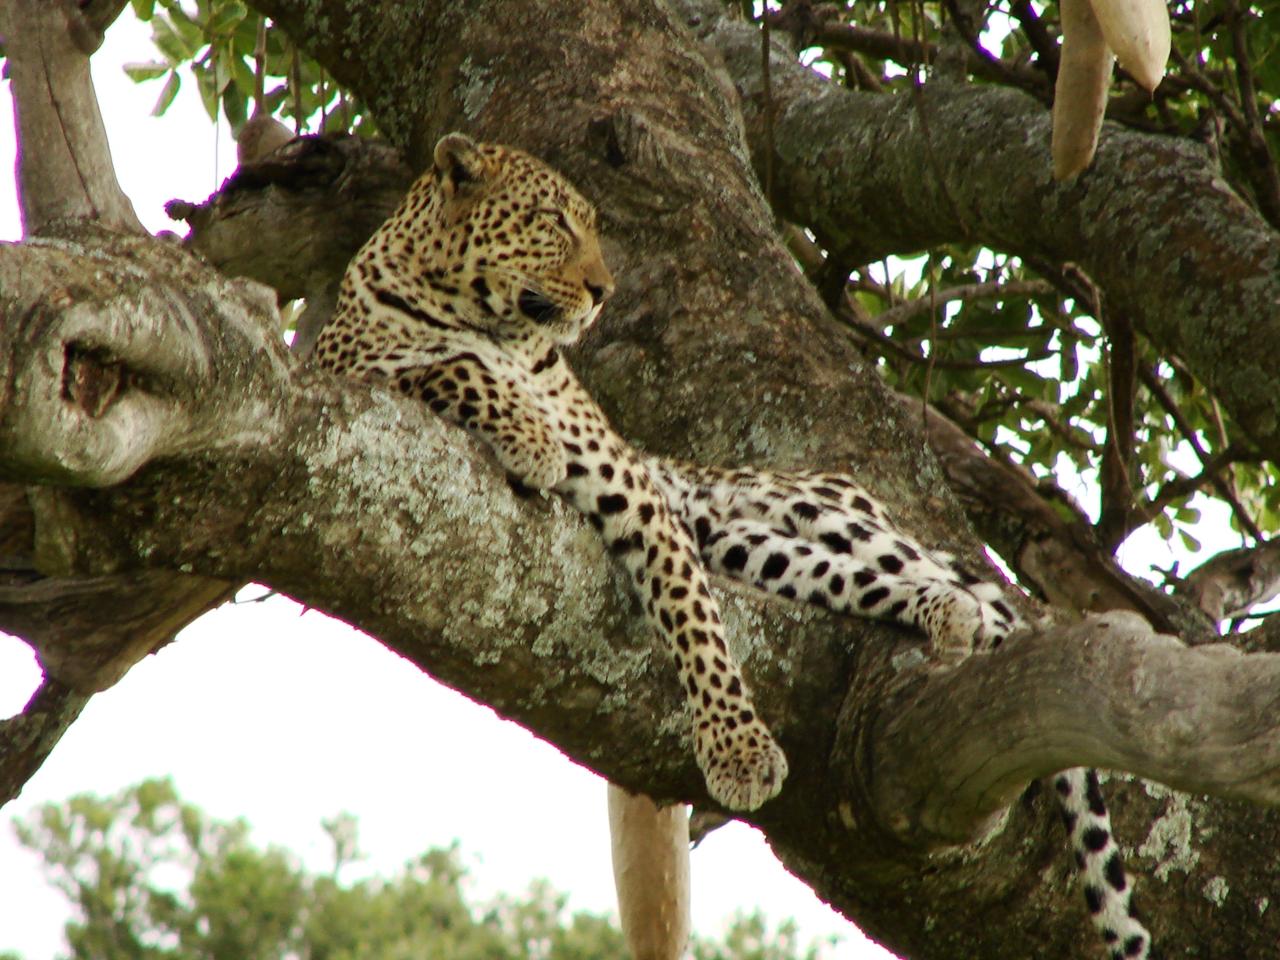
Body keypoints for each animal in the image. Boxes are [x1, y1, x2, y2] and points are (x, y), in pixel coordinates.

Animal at [312, 131, 1148, 959]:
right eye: (552, 222)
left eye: (591, 228)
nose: (603, 291)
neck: (487, 321)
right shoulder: (351, 366)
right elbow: (450, 369)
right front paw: (526, 432)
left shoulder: (633, 488)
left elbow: (696, 621)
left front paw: (739, 753)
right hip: (760, 549)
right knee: (891, 585)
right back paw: (948, 617)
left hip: (818, 516)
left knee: (985, 602)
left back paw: (992, 628)